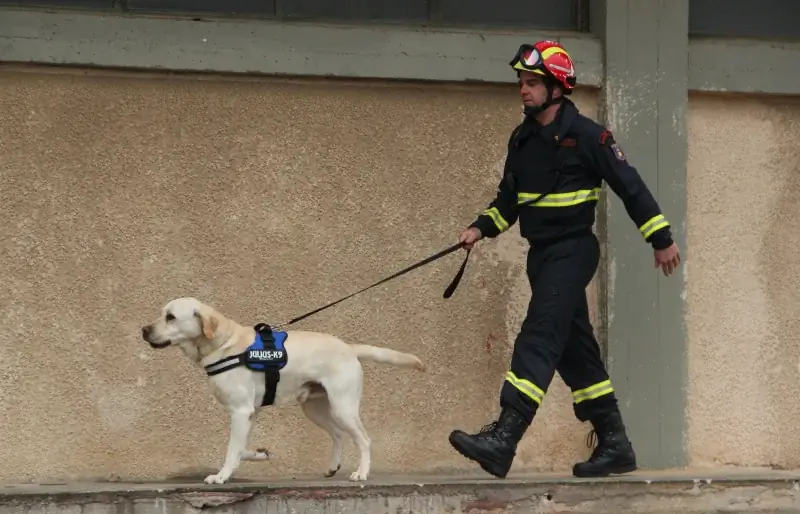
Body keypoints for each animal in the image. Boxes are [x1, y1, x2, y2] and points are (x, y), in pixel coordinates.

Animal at [139, 296, 424, 484]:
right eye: (161, 313)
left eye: (171, 317)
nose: (143, 330)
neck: (223, 343)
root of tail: (349, 347)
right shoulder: (250, 412)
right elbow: (240, 447)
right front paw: (259, 454)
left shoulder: (240, 411)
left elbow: (232, 449)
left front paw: (221, 476)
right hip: (314, 408)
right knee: (338, 434)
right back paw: (333, 467)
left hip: (343, 406)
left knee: (363, 439)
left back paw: (362, 472)